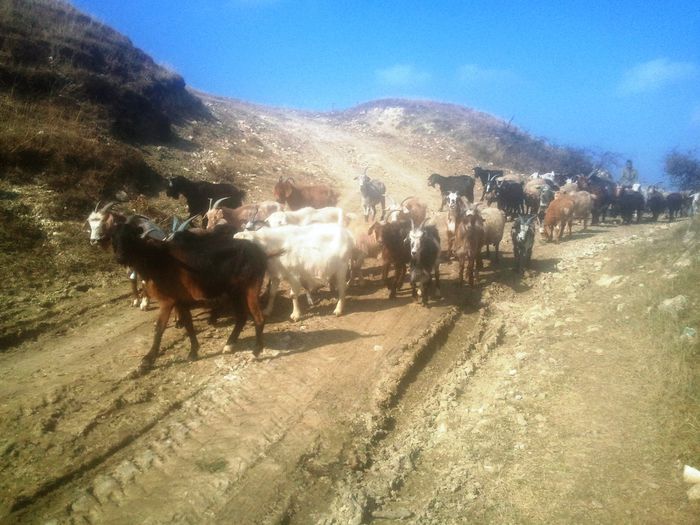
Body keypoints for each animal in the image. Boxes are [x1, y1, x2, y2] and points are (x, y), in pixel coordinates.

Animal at [110, 222, 266, 372]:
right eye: (114, 239)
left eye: (131, 237)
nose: (120, 258)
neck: (157, 259)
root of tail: (258, 251)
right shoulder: (180, 300)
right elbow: (188, 324)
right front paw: (193, 352)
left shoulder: (168, 301)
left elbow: (159, 328)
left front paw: (147, 361)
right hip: (235, 292)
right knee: (241, 317)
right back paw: (229, 344)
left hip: (251, 287)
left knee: (259, 318)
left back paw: (255, 352)